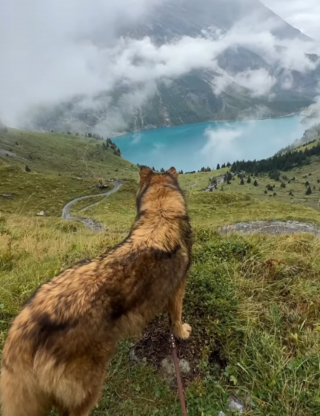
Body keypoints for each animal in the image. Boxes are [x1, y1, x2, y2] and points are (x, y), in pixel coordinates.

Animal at [0, 167, 192, 416]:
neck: (160, 214)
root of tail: (27, 322)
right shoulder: (178, 289)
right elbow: (176, 318)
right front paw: (182, 332)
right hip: (88, 385)